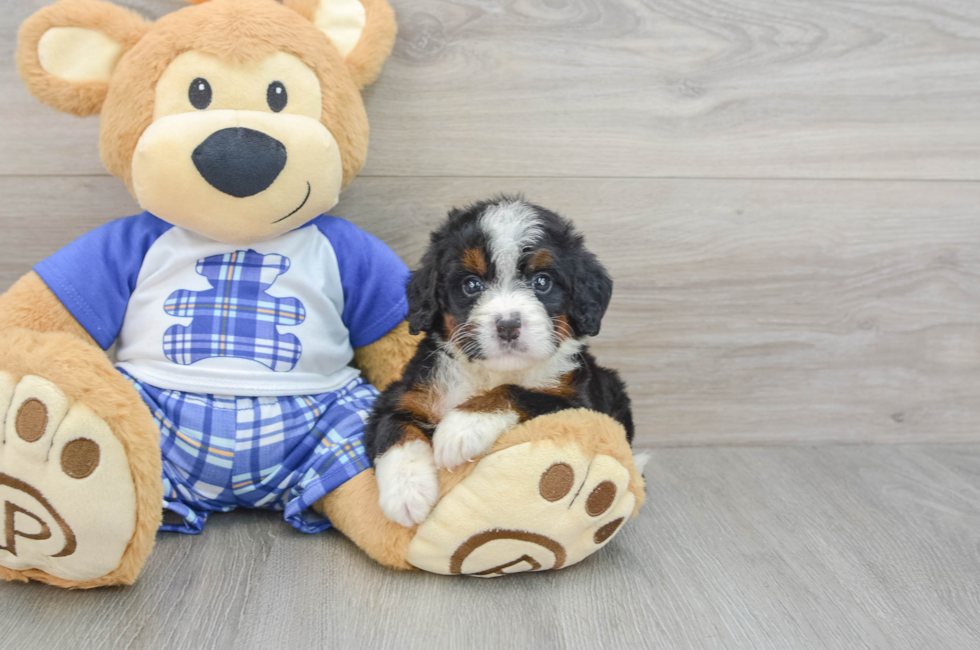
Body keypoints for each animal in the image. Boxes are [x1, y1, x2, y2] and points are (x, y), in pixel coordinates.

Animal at [364, 197, 632, 528]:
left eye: (542, 281)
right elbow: (394, 429)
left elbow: (518, 392)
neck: (490, 373)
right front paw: (406, 492)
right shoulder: (401, 392)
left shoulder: (582, 405)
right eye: (471, 285)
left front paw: (461, 428)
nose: (507, 325)